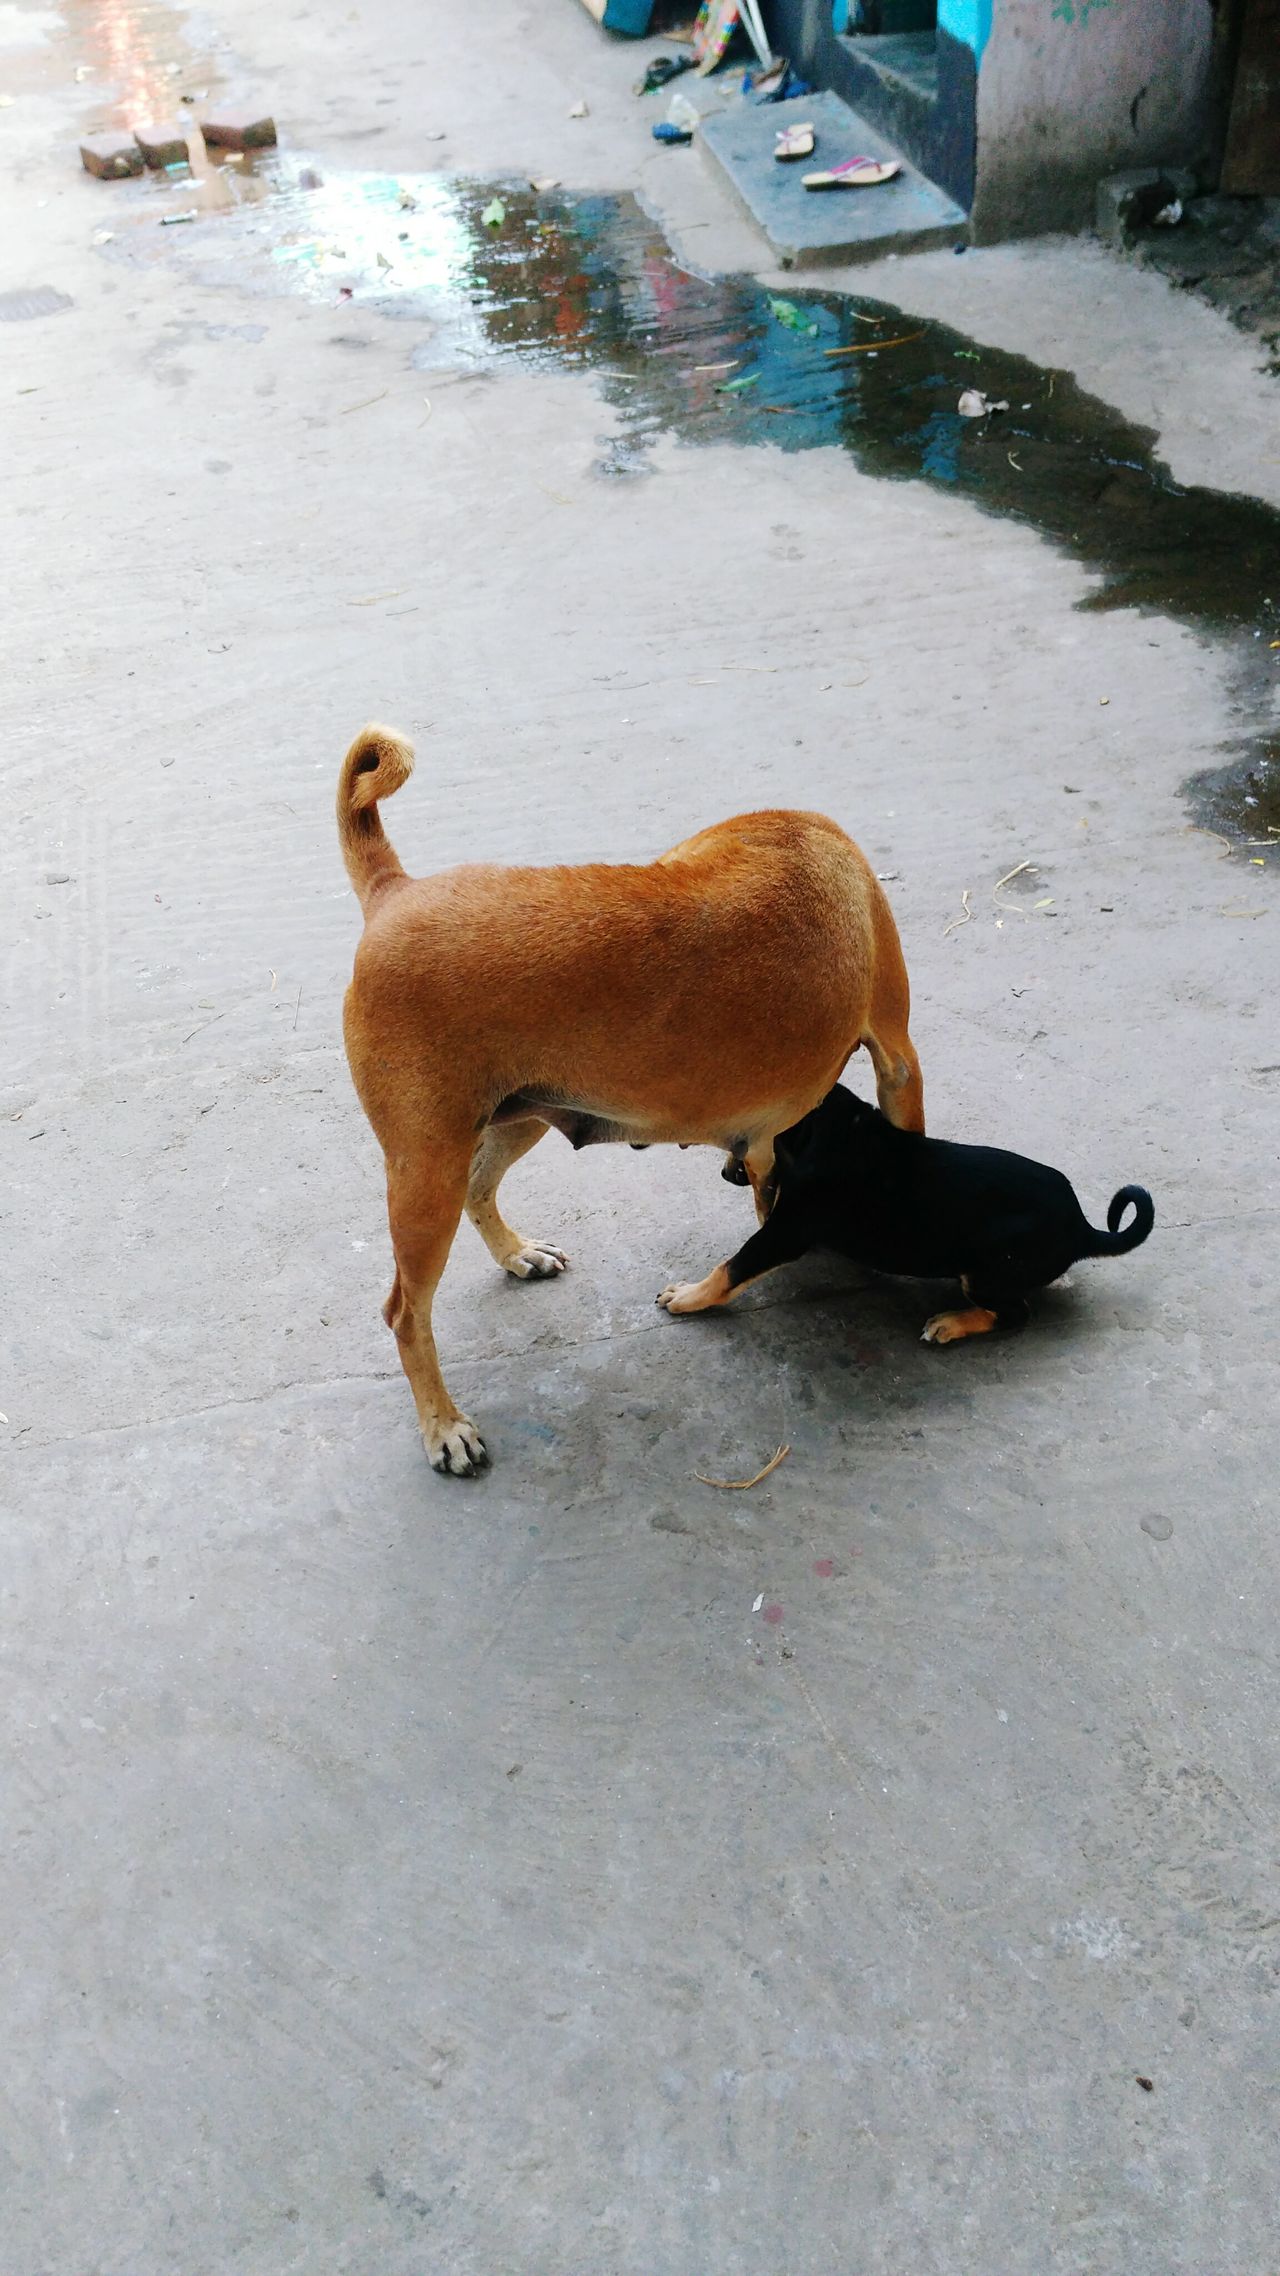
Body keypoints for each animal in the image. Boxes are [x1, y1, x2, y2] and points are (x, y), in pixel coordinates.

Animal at [337, 723, 915, 1474]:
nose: (734, 1170)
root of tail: (392, 892)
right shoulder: (898, 1059)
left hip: (509, 1122)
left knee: (479, 1191)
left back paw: (518, 1254)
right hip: (425, 1172)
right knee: (406, 1313)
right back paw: (443, 1426)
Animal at [651, 1078, 1152, 1338]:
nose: (726, 1175)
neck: (832, 1127)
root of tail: (1084, 1228)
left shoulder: (786, 1232)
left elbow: (730, 1268)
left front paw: (688, 1296)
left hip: (986, 1270)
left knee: (1016, 1314)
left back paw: (952, 1324)